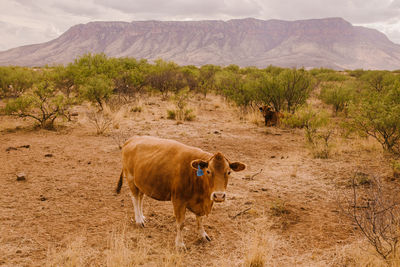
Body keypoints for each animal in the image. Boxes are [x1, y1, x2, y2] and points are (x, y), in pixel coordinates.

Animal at [115, 137, 245, 250]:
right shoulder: (178, 200)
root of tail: (132, 139)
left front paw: (203, 235)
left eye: (229, 172)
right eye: (208, 171)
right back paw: (138, 220)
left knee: (140, 198)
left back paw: (142, 217)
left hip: (141, 183)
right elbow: (181, 223)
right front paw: (180, 244)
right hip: (131, 179)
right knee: (135, 199)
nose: (219, 195)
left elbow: (200, 219)